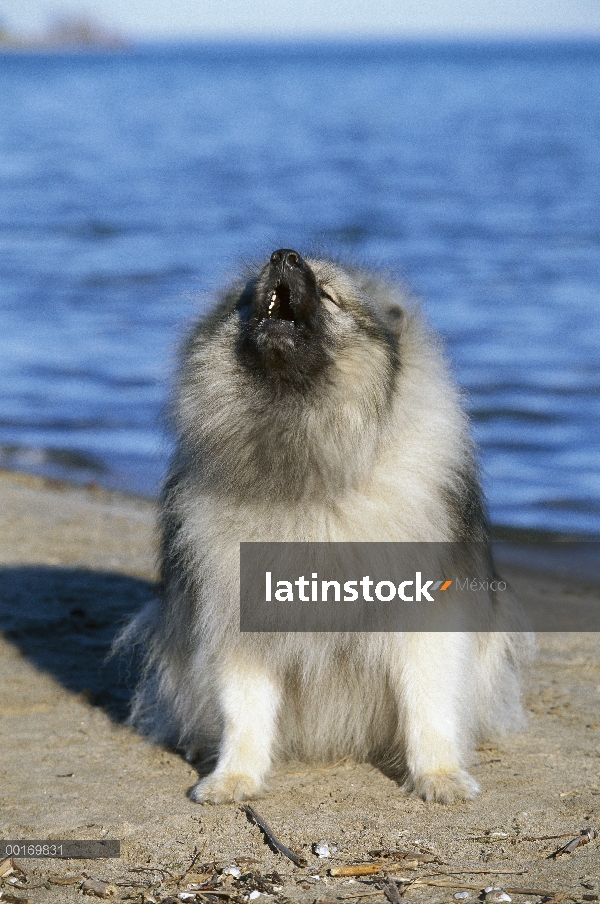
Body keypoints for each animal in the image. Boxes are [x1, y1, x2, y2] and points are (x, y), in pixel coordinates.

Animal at [119, 249, 532, 804]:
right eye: (250, 292)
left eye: (331, 295)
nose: (284, 254)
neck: (307, 472)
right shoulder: (239, 617)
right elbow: (244, 713)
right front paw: (234, 778)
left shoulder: (425, 620)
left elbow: (429, 708)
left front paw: (439, 776)